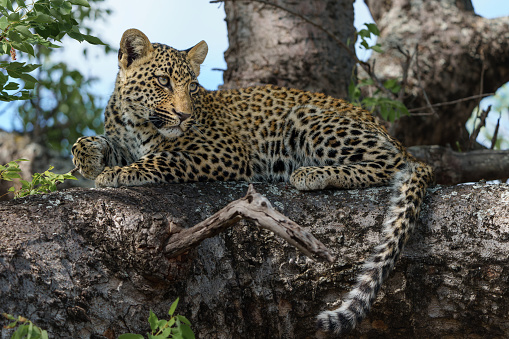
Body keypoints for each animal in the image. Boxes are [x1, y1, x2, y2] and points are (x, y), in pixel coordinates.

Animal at [71, 29, 432, 338]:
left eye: (192, 88)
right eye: (162, 81)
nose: (185, 117)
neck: (135, 121)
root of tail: (389, 133)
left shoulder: (224, 152)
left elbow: (163, 158)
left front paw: (117, 174)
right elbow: (88, 142)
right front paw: (89, 156)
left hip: (307, 118)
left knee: (396, 164)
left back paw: (313, 173)